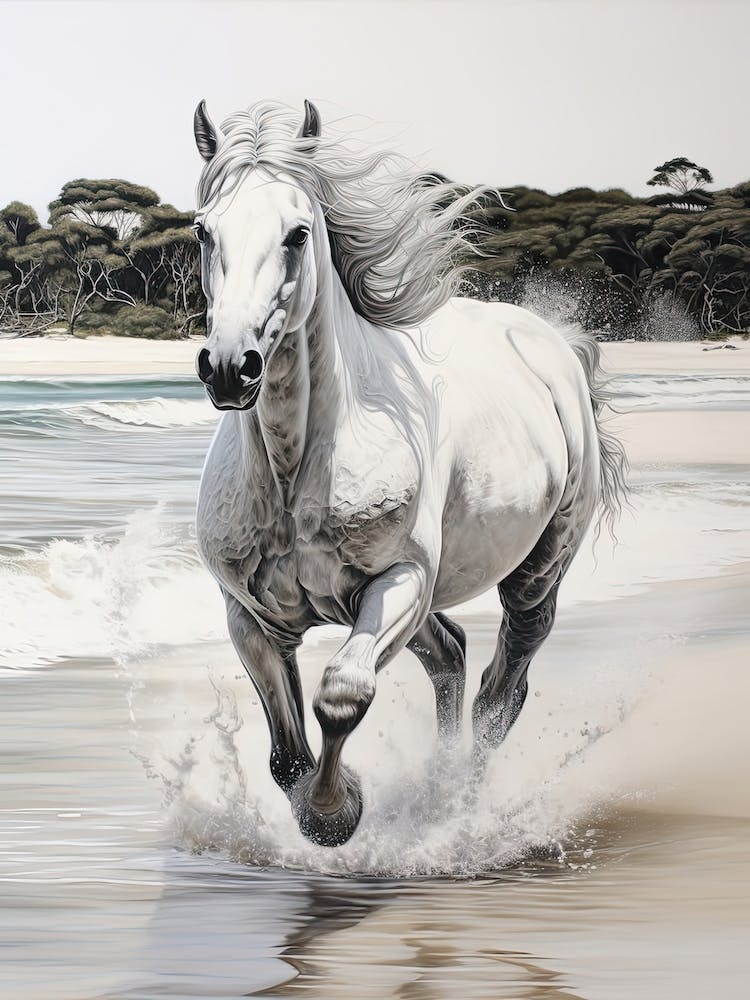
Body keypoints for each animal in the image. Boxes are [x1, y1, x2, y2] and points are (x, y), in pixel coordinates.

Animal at [191, 99, 627, 847]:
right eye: (202, 230)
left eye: (297, 234)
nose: (229, 367)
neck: (296, 471)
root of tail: (554, 344)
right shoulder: (251, 616)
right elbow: (285, 754)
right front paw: (321, 806)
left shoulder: (399, 580)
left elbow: (342, 695)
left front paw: (336, 814)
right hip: (411, 603)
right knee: (451, 654)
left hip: (534, 576)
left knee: (500, 693)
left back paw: (456, 810)